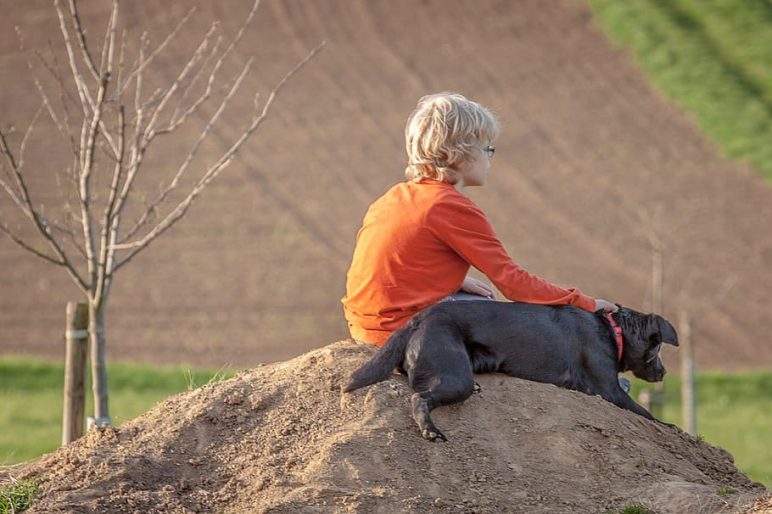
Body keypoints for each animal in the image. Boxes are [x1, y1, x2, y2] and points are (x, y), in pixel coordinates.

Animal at [344, 300, 676, 440]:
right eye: (657, 347)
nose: (663, 374)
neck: (613, 330)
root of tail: (421, 317)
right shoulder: (608, 390)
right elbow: (648, 414)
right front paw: (669, 425)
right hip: (455, 376)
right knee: (419, 398)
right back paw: (430, 430)